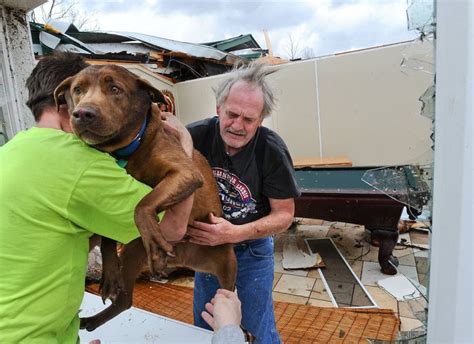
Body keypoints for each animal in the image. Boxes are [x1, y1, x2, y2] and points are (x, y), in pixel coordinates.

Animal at [54, 64, 237, 330]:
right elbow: (107, 237)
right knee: (125, 301)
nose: (82, 114)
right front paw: (110, 272)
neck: (125, 151)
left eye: (115, 89)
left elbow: (143, 204)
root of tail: (184, 258)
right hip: (132, 252)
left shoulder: (185, 172)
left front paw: (155, 243)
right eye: (78, 90)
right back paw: (95, 316)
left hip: (227, 266)